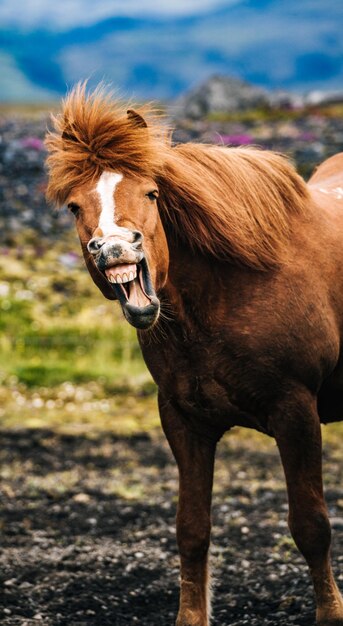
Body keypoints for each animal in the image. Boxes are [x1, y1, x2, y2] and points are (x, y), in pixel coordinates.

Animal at [46, 85, 343, 624]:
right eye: (76, 207)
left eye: (151, 194)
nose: (115, 248)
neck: (223, 293)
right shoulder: (183, 418)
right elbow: (192, 530)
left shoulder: (296, 411)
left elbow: (311, 526)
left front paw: (332, 614)